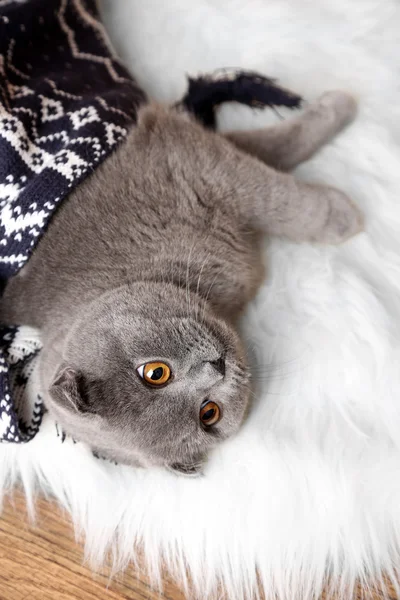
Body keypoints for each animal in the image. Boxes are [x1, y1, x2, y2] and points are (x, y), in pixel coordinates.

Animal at [0, 90, 362, 474]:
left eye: (154, 372)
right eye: (209, 413)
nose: (217, 369)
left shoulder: (184, 156)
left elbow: (278, 179)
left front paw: (339, 112)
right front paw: (345, 215)